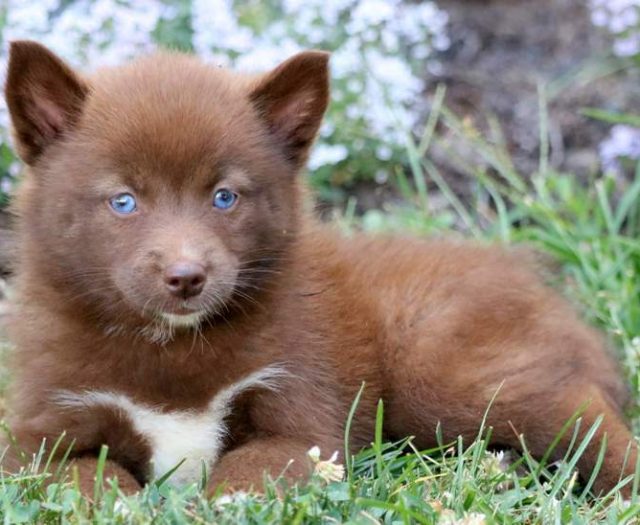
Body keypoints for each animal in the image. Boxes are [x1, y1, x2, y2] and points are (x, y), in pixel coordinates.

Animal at [0, 40, 636, 497]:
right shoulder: (39, 433)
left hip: (444, 368)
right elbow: (87, 479)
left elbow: (247, 475)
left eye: (225, 197)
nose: (185, 278)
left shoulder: (301, 407)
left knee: (584, 418)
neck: (172, 347)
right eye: (123, 201)